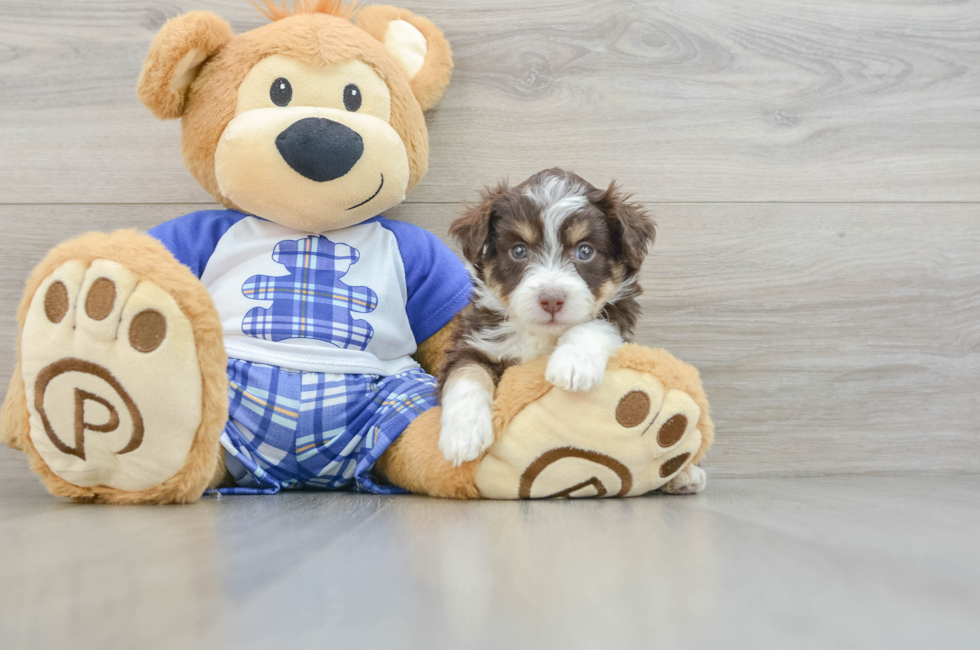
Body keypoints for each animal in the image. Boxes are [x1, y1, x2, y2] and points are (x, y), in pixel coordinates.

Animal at [438, 167, 656, 460]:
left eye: (585, 251)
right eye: (519, 250)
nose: (551, 300)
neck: (541, 336)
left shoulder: (620, 318)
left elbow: (596, 323)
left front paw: (573, 365)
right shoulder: (473, 342)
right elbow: (467, 374)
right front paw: (463, 435)